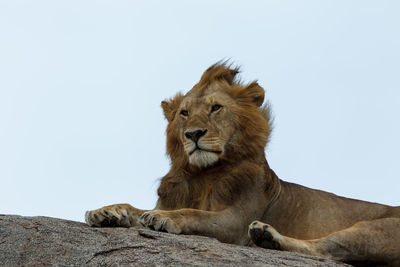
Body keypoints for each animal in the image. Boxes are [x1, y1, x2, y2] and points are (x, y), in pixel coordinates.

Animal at [85, 63, 400, 266]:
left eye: (216, 108)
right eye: (184, 113)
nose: (193, 134)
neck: (202, 175)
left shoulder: (235, 221)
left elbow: (193, 214)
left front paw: (164, 218)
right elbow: (135, 208)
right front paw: (107, 212)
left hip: (375, 231)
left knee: (325, 251)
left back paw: (267, 236)